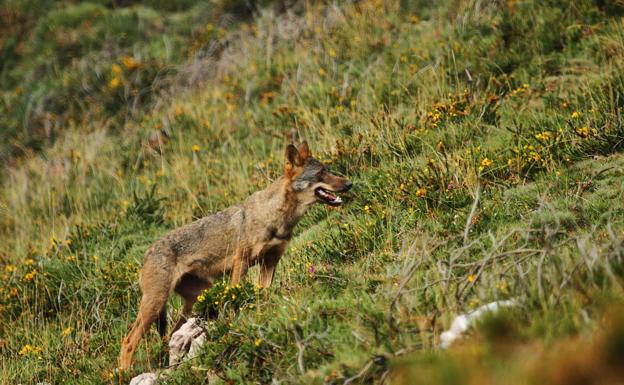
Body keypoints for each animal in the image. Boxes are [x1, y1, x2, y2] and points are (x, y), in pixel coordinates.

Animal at [117, 140, 352, 368]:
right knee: (128, 341)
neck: (276, 217)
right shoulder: (242, 262)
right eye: (321, 173)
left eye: (328, 170)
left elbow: (263, 294)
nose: (349, 184)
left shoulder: (270, 262)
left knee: (171, 335)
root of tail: (146, 254)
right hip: (156, 304)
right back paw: (123, 372)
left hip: (195, 296)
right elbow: (236, 299)